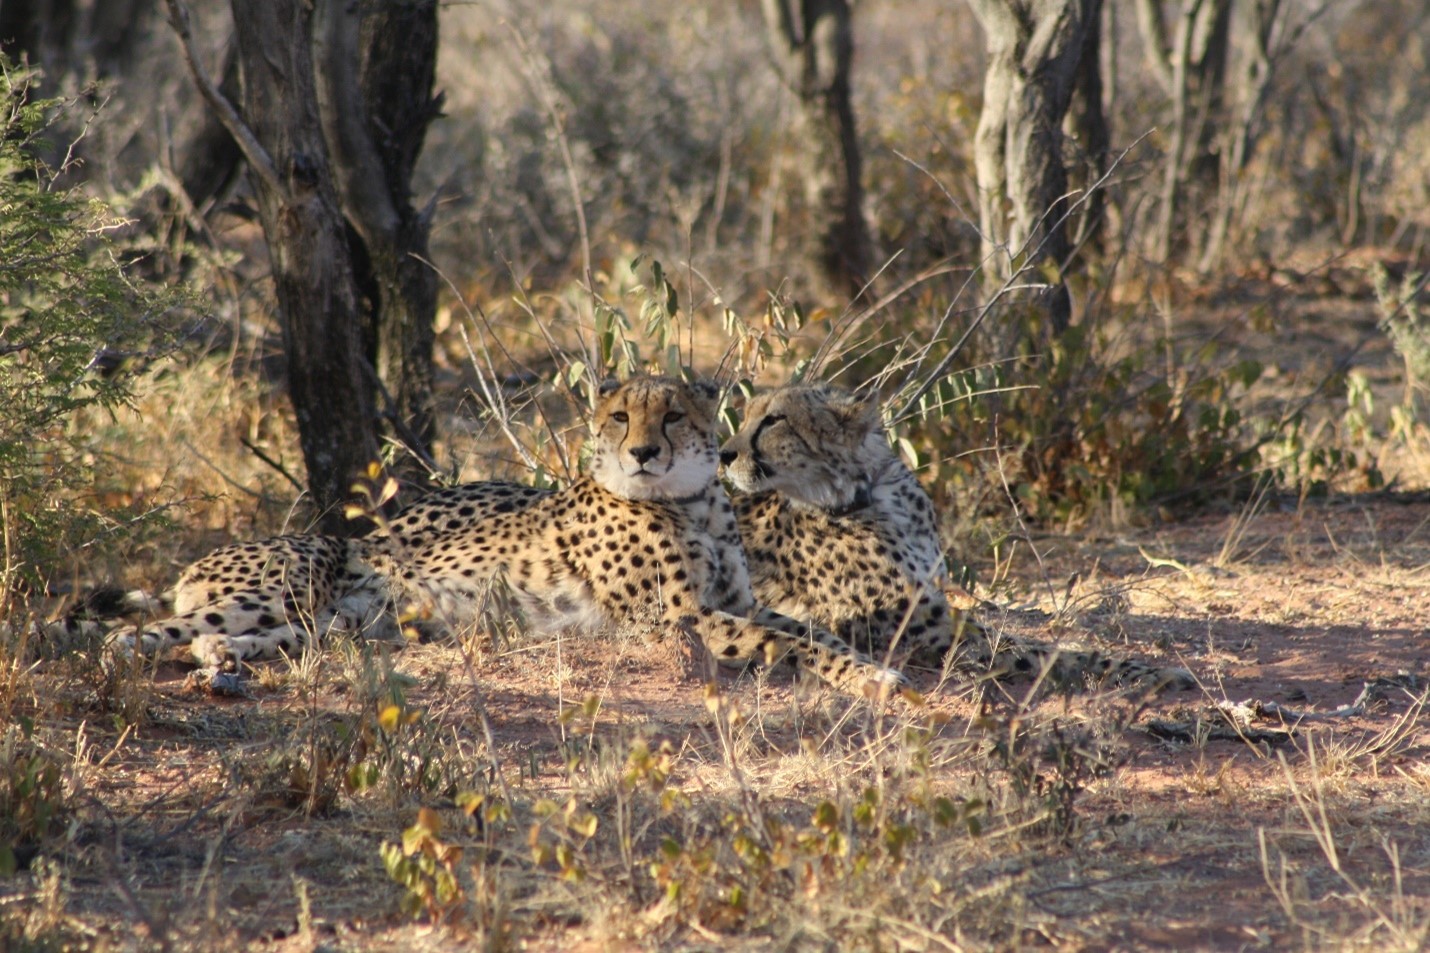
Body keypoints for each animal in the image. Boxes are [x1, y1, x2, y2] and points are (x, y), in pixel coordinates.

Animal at [111, 374, 898, 695]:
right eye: (621, 417)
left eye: (673, 415)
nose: (644, 452)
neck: (692, 502)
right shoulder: (678, 621)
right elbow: (795, 638)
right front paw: (874, 677)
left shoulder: (736, 601)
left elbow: (807, 627)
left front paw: (869, 663)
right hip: (288, 585)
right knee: (134, 635)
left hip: (332, 624)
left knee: (235, 639)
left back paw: (225, 660)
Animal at [715, 383, 1195, 686]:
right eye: (747, 416)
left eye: (774, 420)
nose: (723, 453)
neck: (868, 492)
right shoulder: (922, 629)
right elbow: (1045, 650)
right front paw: (1150, 673)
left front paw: (1154, 670)